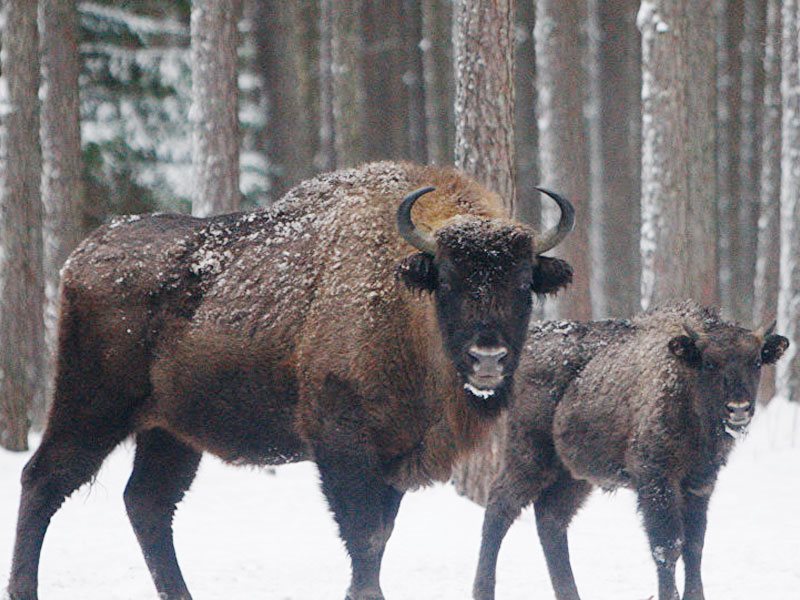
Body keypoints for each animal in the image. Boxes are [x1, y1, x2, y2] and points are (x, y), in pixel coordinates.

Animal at [9, 161, 580, 600]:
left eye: (524, 282)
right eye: (448, 279)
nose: (488, 357)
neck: (403, 299)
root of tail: (81, 256)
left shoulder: (395, 457)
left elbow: (381, 534)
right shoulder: (344, 446)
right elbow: (364, 536)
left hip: (169, 432)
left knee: (147, 503)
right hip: (91, 407)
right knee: (44, 479)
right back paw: (24, 589)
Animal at [472, 300, 792, 600]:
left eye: (756, 362)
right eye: (709, 363)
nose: (738, 408)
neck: (684, 383)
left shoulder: (700, 484)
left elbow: (694, 546)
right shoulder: (657, 480)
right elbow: (668, 545)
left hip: (573, 475)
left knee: (551, 520)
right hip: (530, 457)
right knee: (500, 508)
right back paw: (483, 590)